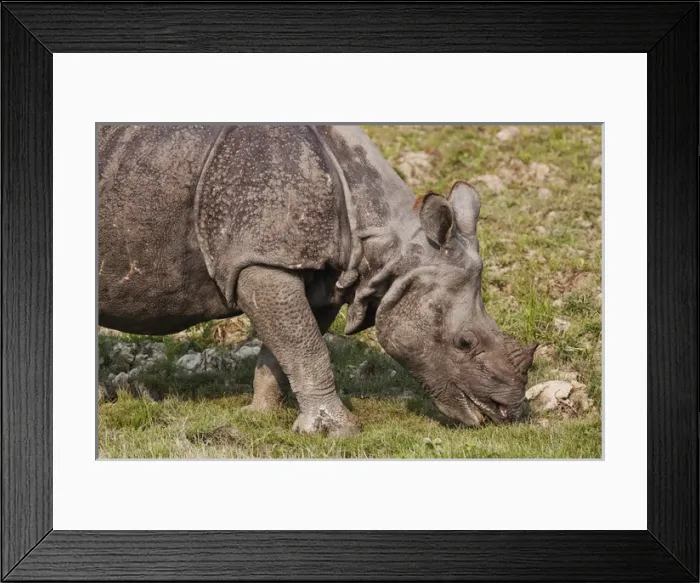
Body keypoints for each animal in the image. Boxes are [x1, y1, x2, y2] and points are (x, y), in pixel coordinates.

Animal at [98, 125, 537, 436]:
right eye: (464, 343)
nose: (508, 409)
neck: (385, 240)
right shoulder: (262, 260)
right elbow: (306, 347)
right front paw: (338, 431)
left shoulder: (320, 276)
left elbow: (287, 348)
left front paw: (261, 415)